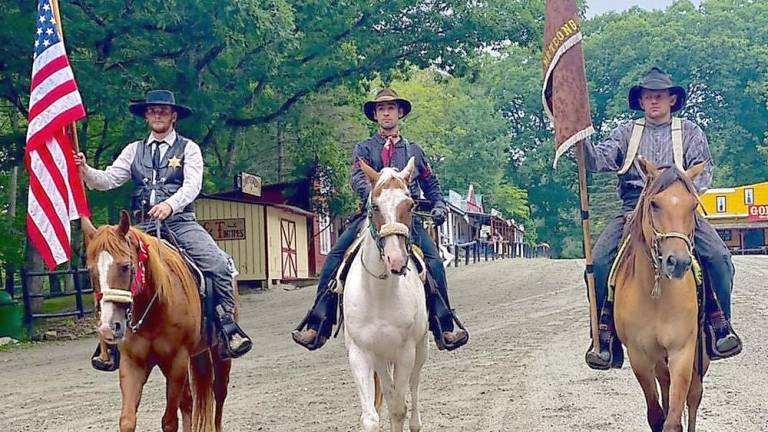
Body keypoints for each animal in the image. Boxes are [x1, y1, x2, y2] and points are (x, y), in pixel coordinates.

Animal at [83, 212, 232, 432]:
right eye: (90, 270)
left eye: (125, 267)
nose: (109, 328)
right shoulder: (133, 363)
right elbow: (127, 420)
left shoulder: (177, 361)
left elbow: (169, 422)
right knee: (188, 402)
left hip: (218, 354)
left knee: (219, 394)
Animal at [344, 158, 428, 432]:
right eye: (375, 206)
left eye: (410, 205)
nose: (396, 259)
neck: (379, 295)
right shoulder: (360, 354)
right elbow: (371, 417)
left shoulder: (405, 354)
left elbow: (400, 409)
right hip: (380, 359)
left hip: (420, 350)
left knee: (413, 389)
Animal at [616, 158, 712, 432]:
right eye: (655, 204)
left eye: (693, 205)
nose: (677, 262)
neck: (658, 300)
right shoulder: (639, 356)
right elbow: (657, 414)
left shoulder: (683, 352)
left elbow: (674, 418)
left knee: (694, 396)